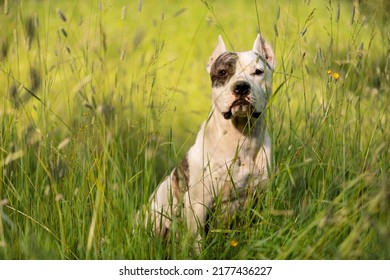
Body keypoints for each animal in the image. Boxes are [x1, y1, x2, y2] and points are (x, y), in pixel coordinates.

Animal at [145, 33, 276, 249]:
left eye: (258, 72)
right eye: (222, 72)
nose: (241, 87)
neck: (241, 139)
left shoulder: (260, 198)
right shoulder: (198, 204)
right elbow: (197, 241)